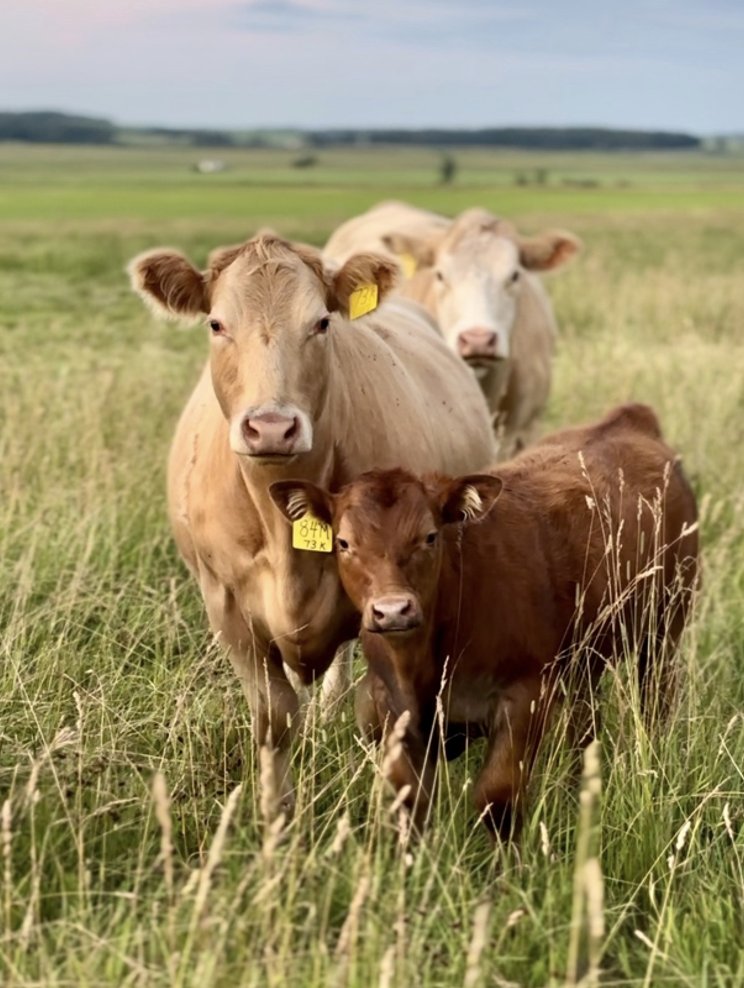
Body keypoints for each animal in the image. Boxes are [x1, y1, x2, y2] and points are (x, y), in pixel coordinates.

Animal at [128, 233, 494, 818]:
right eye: (216, 323)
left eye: (322, 322)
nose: (271, 427)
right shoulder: (225, 606)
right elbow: (274, 718)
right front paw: (275, 815)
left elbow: (387, 714)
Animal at [270, 404, 699, 837]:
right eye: (343, 543)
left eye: (429, 536)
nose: (393, 610)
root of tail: (628, 419)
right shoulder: (387, 710)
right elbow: (410, 803)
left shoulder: (524, 699)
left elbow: (497, 801)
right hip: (584, 659)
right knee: (583, 724)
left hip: (664, 628)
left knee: (654, 700)